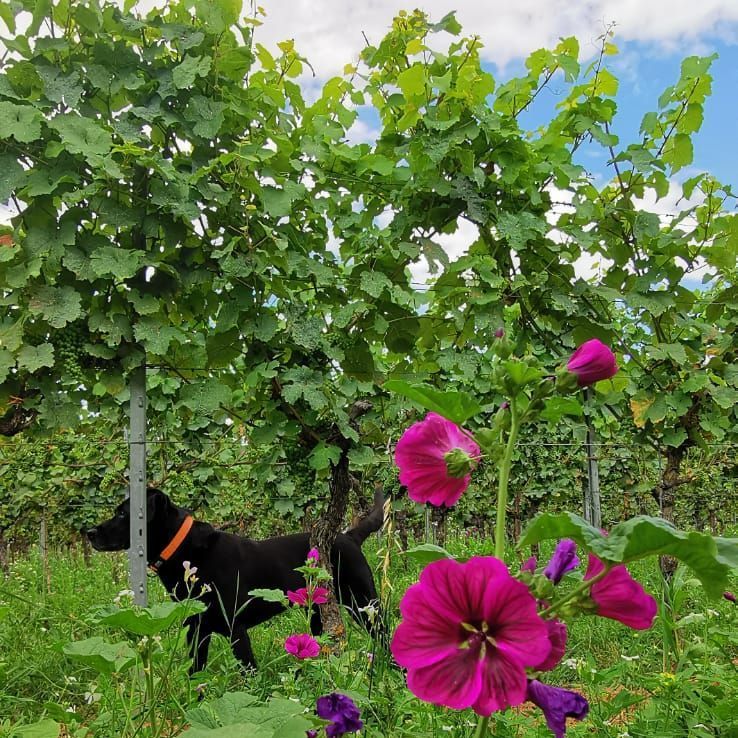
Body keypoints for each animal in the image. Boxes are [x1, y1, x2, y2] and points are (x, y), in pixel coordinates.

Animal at [87, 488, 384, 673]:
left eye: (122, 513)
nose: (88, 532)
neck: (187, 553)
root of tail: (350, 536)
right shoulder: (197, 631)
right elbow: (195, 673)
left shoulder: (236, 630)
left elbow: (249, 674)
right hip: (318, 615)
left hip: (364, 604)